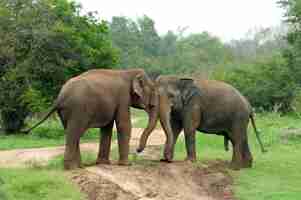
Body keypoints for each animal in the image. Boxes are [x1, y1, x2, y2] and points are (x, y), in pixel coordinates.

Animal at [23, 68, 158, 169]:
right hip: (77, 109)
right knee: (74, 132)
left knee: (71, 132)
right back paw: (72, 168)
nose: (138, 150)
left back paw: (79, 166)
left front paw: (103, 163)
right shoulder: (123, 97)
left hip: (65, 112)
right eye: (152, 90)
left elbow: (107, 127)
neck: (128, 72)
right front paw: (126, 164)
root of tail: (60, 97)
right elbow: (123, 125)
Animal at [136, 76, 264, 170]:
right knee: (241, 138)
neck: (179, 79)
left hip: (238, 117)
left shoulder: (193, 105)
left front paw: (188, 162)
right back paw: (246, 166)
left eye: (171, 96)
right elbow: (174, 128)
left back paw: (233, 167)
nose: (137, 150)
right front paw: (166, 160)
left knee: (236, 138)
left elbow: (189, 128)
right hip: (240, 119)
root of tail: (249, 106)